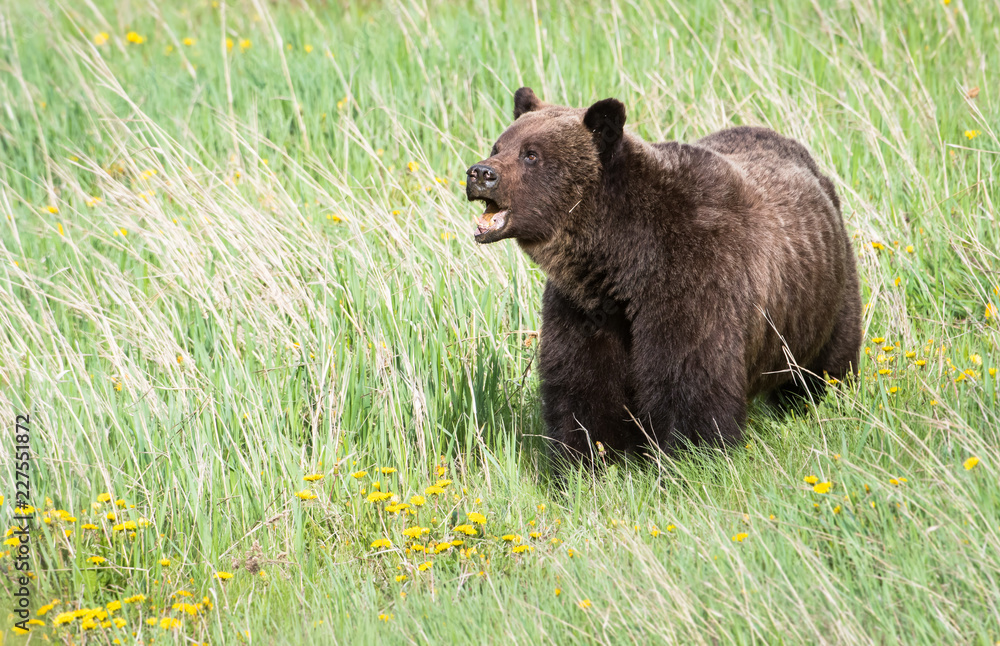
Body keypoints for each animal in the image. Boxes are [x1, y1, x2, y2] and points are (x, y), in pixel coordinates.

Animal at [466, 87, 862, 463]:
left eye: (531, 154)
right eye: (498, 145)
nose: (480, 173)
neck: (622, 262)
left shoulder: (694, 282)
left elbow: (690, 382)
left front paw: (691, 455)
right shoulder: (584, 308)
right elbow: (583, 387)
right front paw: (581, 461)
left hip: (823, 295)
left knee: (828, 360)